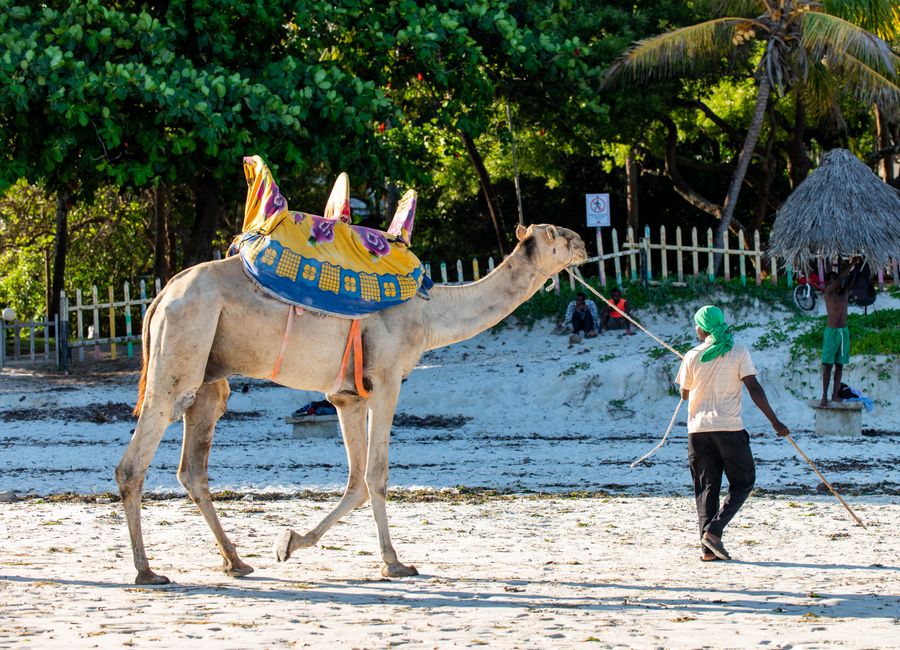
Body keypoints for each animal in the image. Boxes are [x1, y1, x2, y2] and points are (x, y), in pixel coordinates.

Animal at [115, 223, 587, 585]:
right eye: (558, 235)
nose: (582, 242)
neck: (429, 315)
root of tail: (160, 298)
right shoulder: (386, 381)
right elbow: (377, 474)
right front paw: (395, 564)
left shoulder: (347, 396)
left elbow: (356, 480)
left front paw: (289, 543)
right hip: (181, 350)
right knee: (135, 462)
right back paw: (147, 571)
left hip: (210, 376)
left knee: (193, 466)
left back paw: (236, 562)